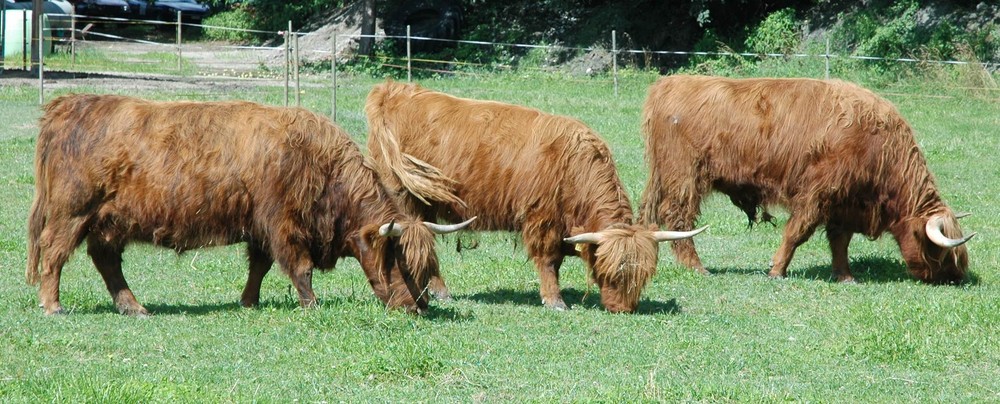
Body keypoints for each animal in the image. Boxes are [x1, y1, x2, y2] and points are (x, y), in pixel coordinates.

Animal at [25, 94, 470, 316]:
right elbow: (299, 267)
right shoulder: (282, 222)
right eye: (397, 259)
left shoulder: (259, 227)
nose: (417, 307)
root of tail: (69, 105)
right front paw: (311, 306)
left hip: (108, 222)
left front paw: (248, 302)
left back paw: (133, 307)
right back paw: (53, 306)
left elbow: (259, 265)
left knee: (106, 262)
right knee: (54, 253)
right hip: (72, 212)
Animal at [366, 79, 704, 312]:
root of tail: (393, 90)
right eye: (609, 273)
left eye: (643, 276)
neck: (574, 168)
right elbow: (548, 262)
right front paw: (554, 300)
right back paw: (440, 292)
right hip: (405, 198)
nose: (623, 309)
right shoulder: (542, 220)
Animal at [640, 76, 976, 284]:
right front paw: (777, 269)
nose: (955, 277)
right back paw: (697, 267)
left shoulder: (844, 203)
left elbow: (840, 242)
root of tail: (670, 83)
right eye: (939, 250)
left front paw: (845, 275)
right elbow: (797, 232)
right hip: (684, 177)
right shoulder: (817, 193)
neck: (880, 146)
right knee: (679, 217)